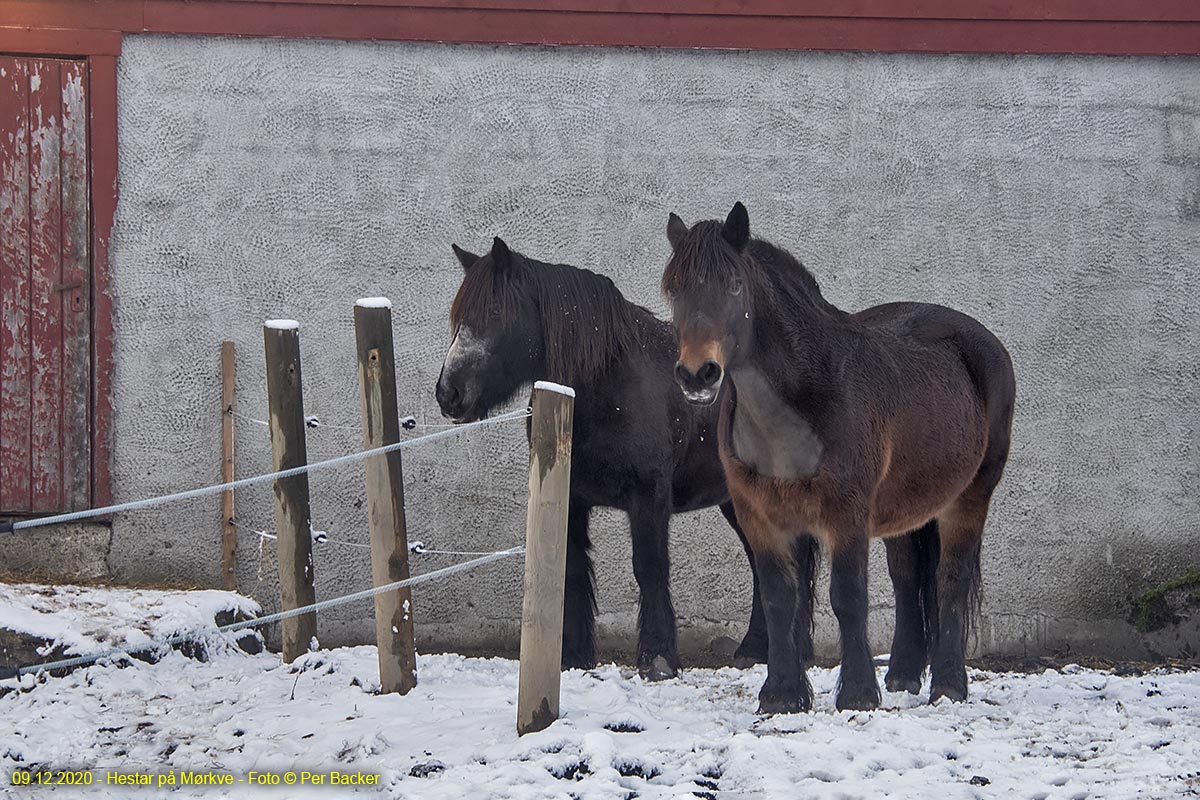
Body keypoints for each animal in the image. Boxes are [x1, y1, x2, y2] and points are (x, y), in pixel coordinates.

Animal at [662, 201, 1017, 714]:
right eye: (673, 289)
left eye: (733, 285)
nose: (697, 374)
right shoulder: (761, 516)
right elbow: (779, 599)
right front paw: (781, 694)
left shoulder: (846, 513)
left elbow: (848, 597)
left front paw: (857, 693)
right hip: (903, 509)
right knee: (907, 578)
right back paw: (904, 674)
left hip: (969, 497)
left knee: (951, 578)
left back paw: (948, 685)